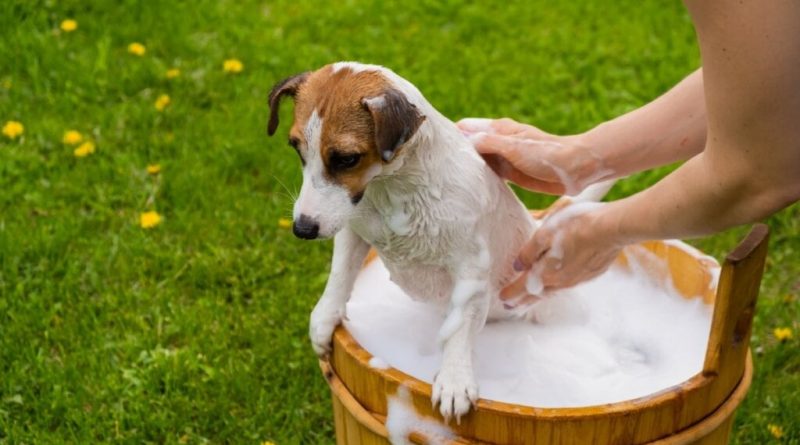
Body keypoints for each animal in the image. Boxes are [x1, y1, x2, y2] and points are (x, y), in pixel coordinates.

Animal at [266, 62, 604, 420]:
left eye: (346, 159)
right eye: (296, 148)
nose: (302, 228)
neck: (392, 190)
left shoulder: (470, 266)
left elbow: (459, 327)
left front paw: (455, 379)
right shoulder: (351, 229)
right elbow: (340, 274)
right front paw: (324, 318)